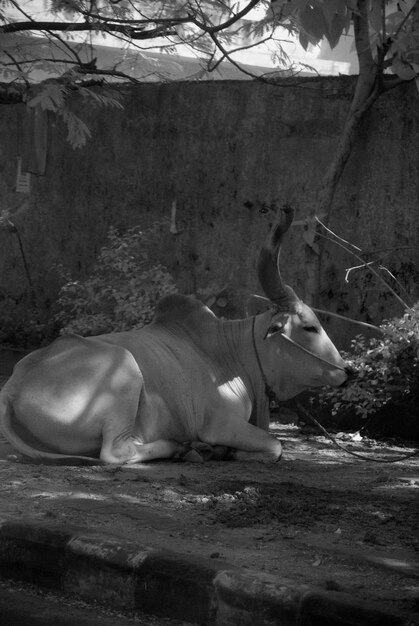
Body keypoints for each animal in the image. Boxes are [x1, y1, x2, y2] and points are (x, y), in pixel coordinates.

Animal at [0, 206, 354, 464]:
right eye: (309, 326)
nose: (347, 371)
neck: (232, 353)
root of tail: (13, 387)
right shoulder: (220, 424)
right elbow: (275, 446)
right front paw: (223, 450)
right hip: (124, 368)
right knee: (115, 453)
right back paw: (178, 447)